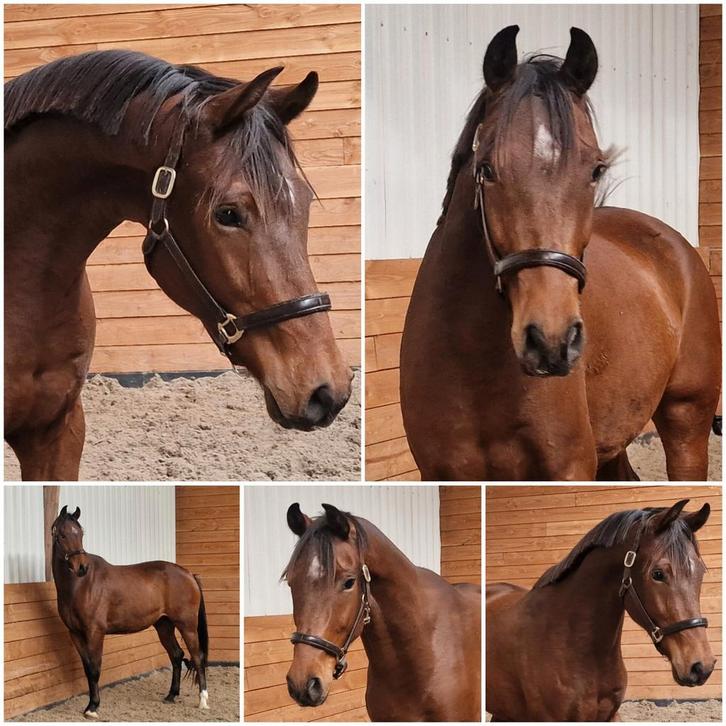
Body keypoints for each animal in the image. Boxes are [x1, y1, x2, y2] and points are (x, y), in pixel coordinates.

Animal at [51, 505, 209, 718]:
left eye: (81, 533)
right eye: (62, 535)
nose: (82, 567)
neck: (80, 585)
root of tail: (189, 574)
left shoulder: (95, 632)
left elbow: (95, 668)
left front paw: (93, 707)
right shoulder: (75, 634)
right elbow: (87, 669)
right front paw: (89, 706)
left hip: (187, 626)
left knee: (197, 657)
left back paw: (203, 701)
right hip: (164, 625)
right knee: (176, 655)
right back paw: (171, 695)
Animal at [400, 26, 721, 481]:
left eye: (596, 169)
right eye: (487, 169)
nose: (551, 342)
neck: (476, 366)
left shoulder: (569, 468)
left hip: (686, 420)